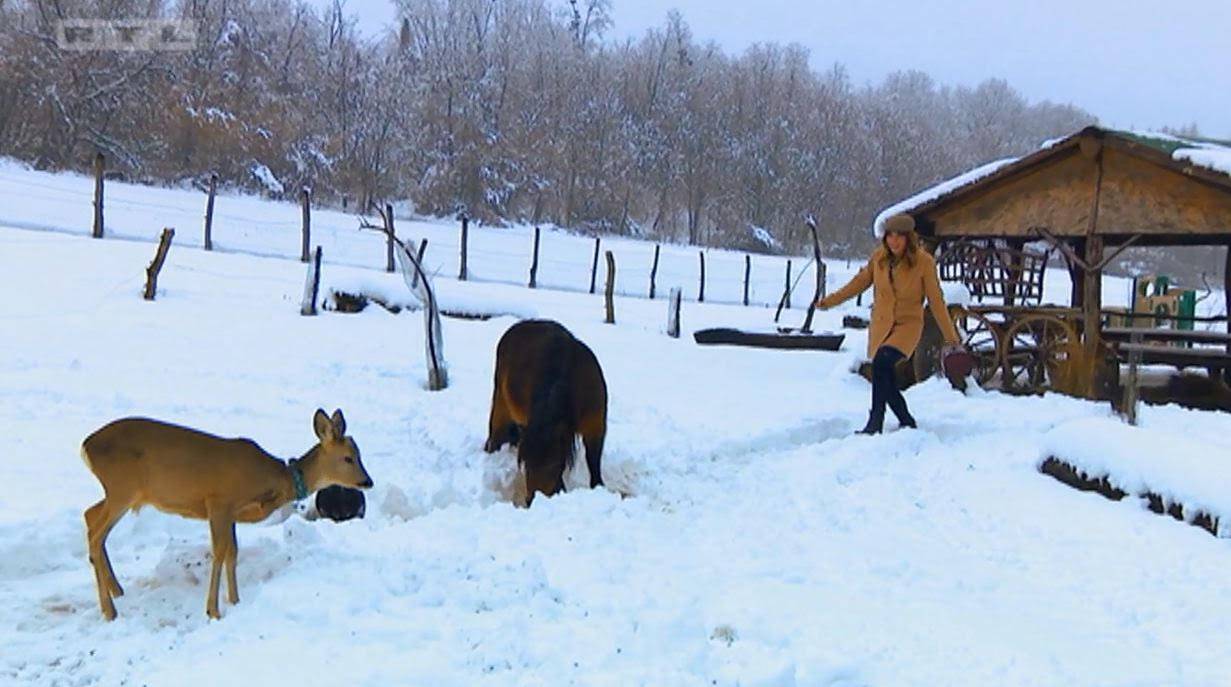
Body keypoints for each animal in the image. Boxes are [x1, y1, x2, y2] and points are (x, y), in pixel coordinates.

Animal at [79, 408, 371, 625]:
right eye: (348, 458)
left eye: (359, 454)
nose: (368, 481)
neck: (274, 482)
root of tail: (85, 446)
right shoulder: (218, 503)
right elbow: (219, 552)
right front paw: (214, 610)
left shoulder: (231, 514)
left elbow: (233, 552)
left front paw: (235, 600)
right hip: (122, 488)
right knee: (95, 533)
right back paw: (110, 610)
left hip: (121, 494)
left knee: (89, 515)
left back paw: (117, 590)